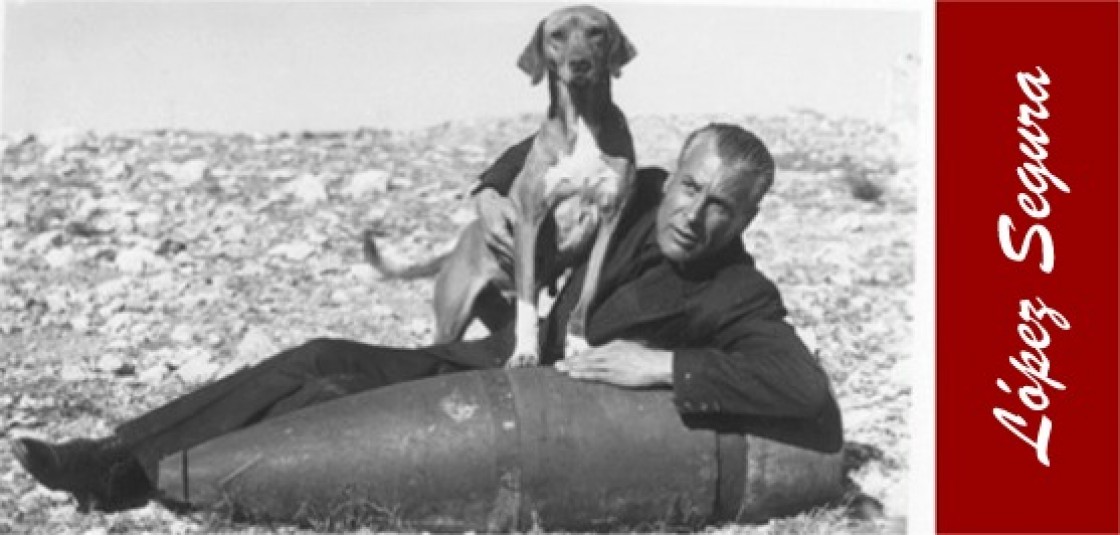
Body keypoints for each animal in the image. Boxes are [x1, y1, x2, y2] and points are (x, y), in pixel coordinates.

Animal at [367, 5, 636, 367]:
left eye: (597, 32)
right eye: (557, 35)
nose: (579, 63)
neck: (581, 122)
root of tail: (458, 245)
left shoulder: (609, 218)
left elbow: (589, 290)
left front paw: (578, 342)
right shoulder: (529, 220)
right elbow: (528, 304)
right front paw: (525, 352)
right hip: (452, 317)